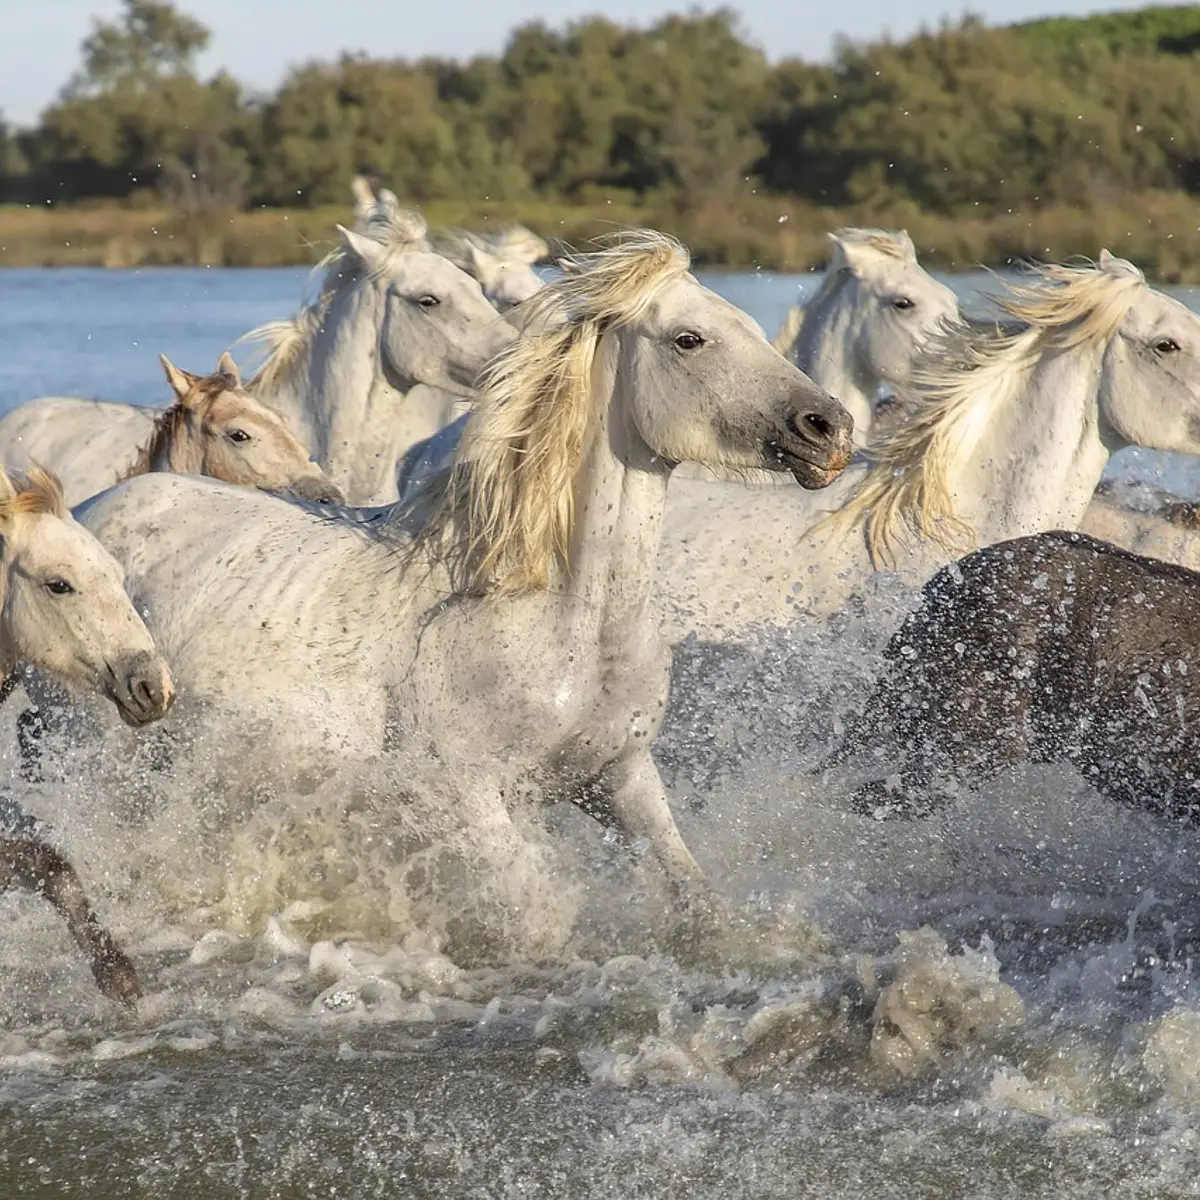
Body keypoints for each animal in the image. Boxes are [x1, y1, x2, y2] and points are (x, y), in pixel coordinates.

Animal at [68, 230, 853, 940]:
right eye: (689, 339)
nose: (830, 427)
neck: (562, 619)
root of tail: (88, 511)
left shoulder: (620, 776)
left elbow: (695, 897)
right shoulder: (468, 797)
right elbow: (540, 921)